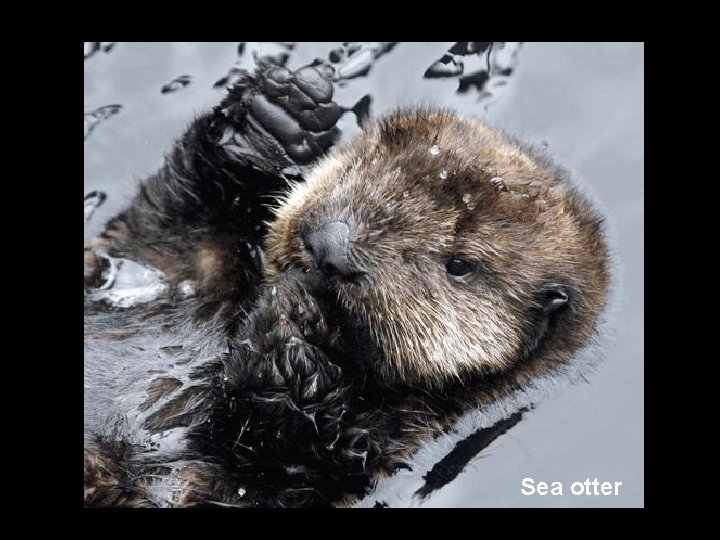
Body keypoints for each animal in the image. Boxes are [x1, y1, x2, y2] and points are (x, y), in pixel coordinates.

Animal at [84, 66, 609, 507]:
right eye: (371, 170)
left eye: (459, 264)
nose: (332, 248)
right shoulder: (164, 270)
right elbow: (171, 229)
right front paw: (278, 116)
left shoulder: (364, 444)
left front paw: (298, 328)